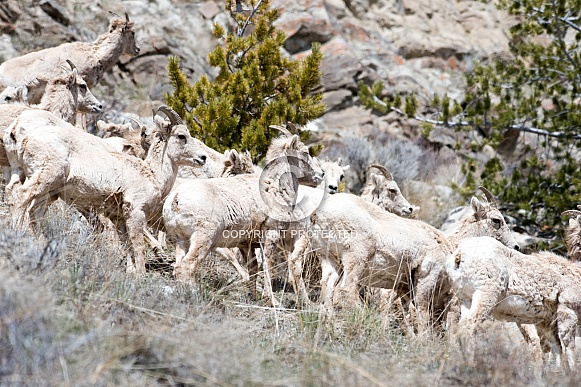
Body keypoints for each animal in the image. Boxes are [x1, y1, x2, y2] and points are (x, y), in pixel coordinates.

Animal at [7, 106, 206, 276]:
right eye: (181, 136)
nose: (203, 158)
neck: (151, 173)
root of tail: (25, 139)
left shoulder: (118, 218)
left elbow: (128, 247)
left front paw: (131, 273)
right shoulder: (135, 212)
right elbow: (138, 246)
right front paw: (140, 275)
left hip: (48, 192)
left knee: (34, 213)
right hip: (45, 179)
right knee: (20, 197)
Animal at [444, 236, 580, 372]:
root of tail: (459, 255)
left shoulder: (547, 323)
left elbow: (557, 349)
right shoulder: (568, 312)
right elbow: (569, 348)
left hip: (466, 300)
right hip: (486, 295)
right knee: (468, 324)